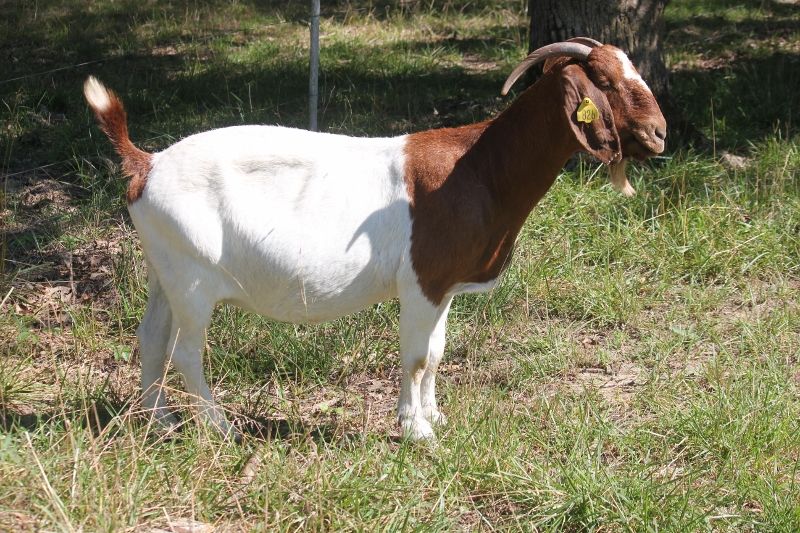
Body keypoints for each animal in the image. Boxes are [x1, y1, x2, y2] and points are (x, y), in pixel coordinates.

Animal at [84, 38, 664, 440]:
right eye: (605, 81)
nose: (660, 133)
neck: (479, 167)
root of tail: (147, 163)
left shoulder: (441, 285)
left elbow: (436, 353)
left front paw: (434, 416)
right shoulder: (422, 282)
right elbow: (416, 357)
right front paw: (416, 432)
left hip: (165, 270)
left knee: (152, 337)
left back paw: (160, 423)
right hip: (193, 278)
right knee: (185, 352)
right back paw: (220, 428)